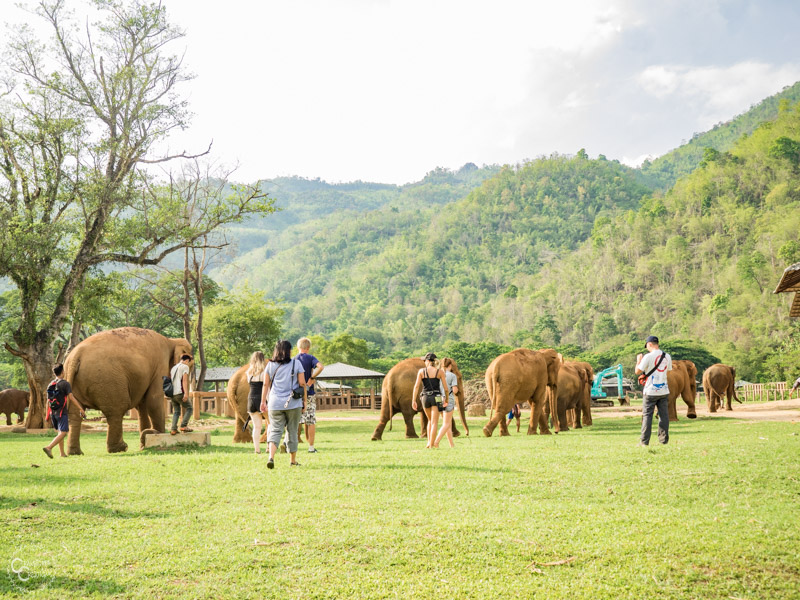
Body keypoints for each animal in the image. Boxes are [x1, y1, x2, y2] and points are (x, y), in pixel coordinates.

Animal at [64, 328, 192, 454]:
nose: (184, 430)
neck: (171, 340)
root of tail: (76, 356)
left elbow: (143, 406)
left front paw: (143, 443)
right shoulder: (160, 365)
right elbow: (153, 401)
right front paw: (155, 434)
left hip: (74, 382)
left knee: (75, 414)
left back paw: (75, 452)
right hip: (108, 380)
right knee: (116, 410)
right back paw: (121, 448)